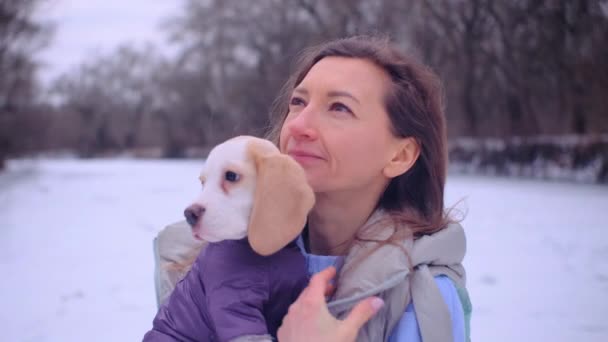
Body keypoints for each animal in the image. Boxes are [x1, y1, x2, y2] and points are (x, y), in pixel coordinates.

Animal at [143, 136, 314, 342]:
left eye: (231, 176)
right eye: (203, 182)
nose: (189, 214)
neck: (267, 259)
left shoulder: (292, 295)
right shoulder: (234, 306)